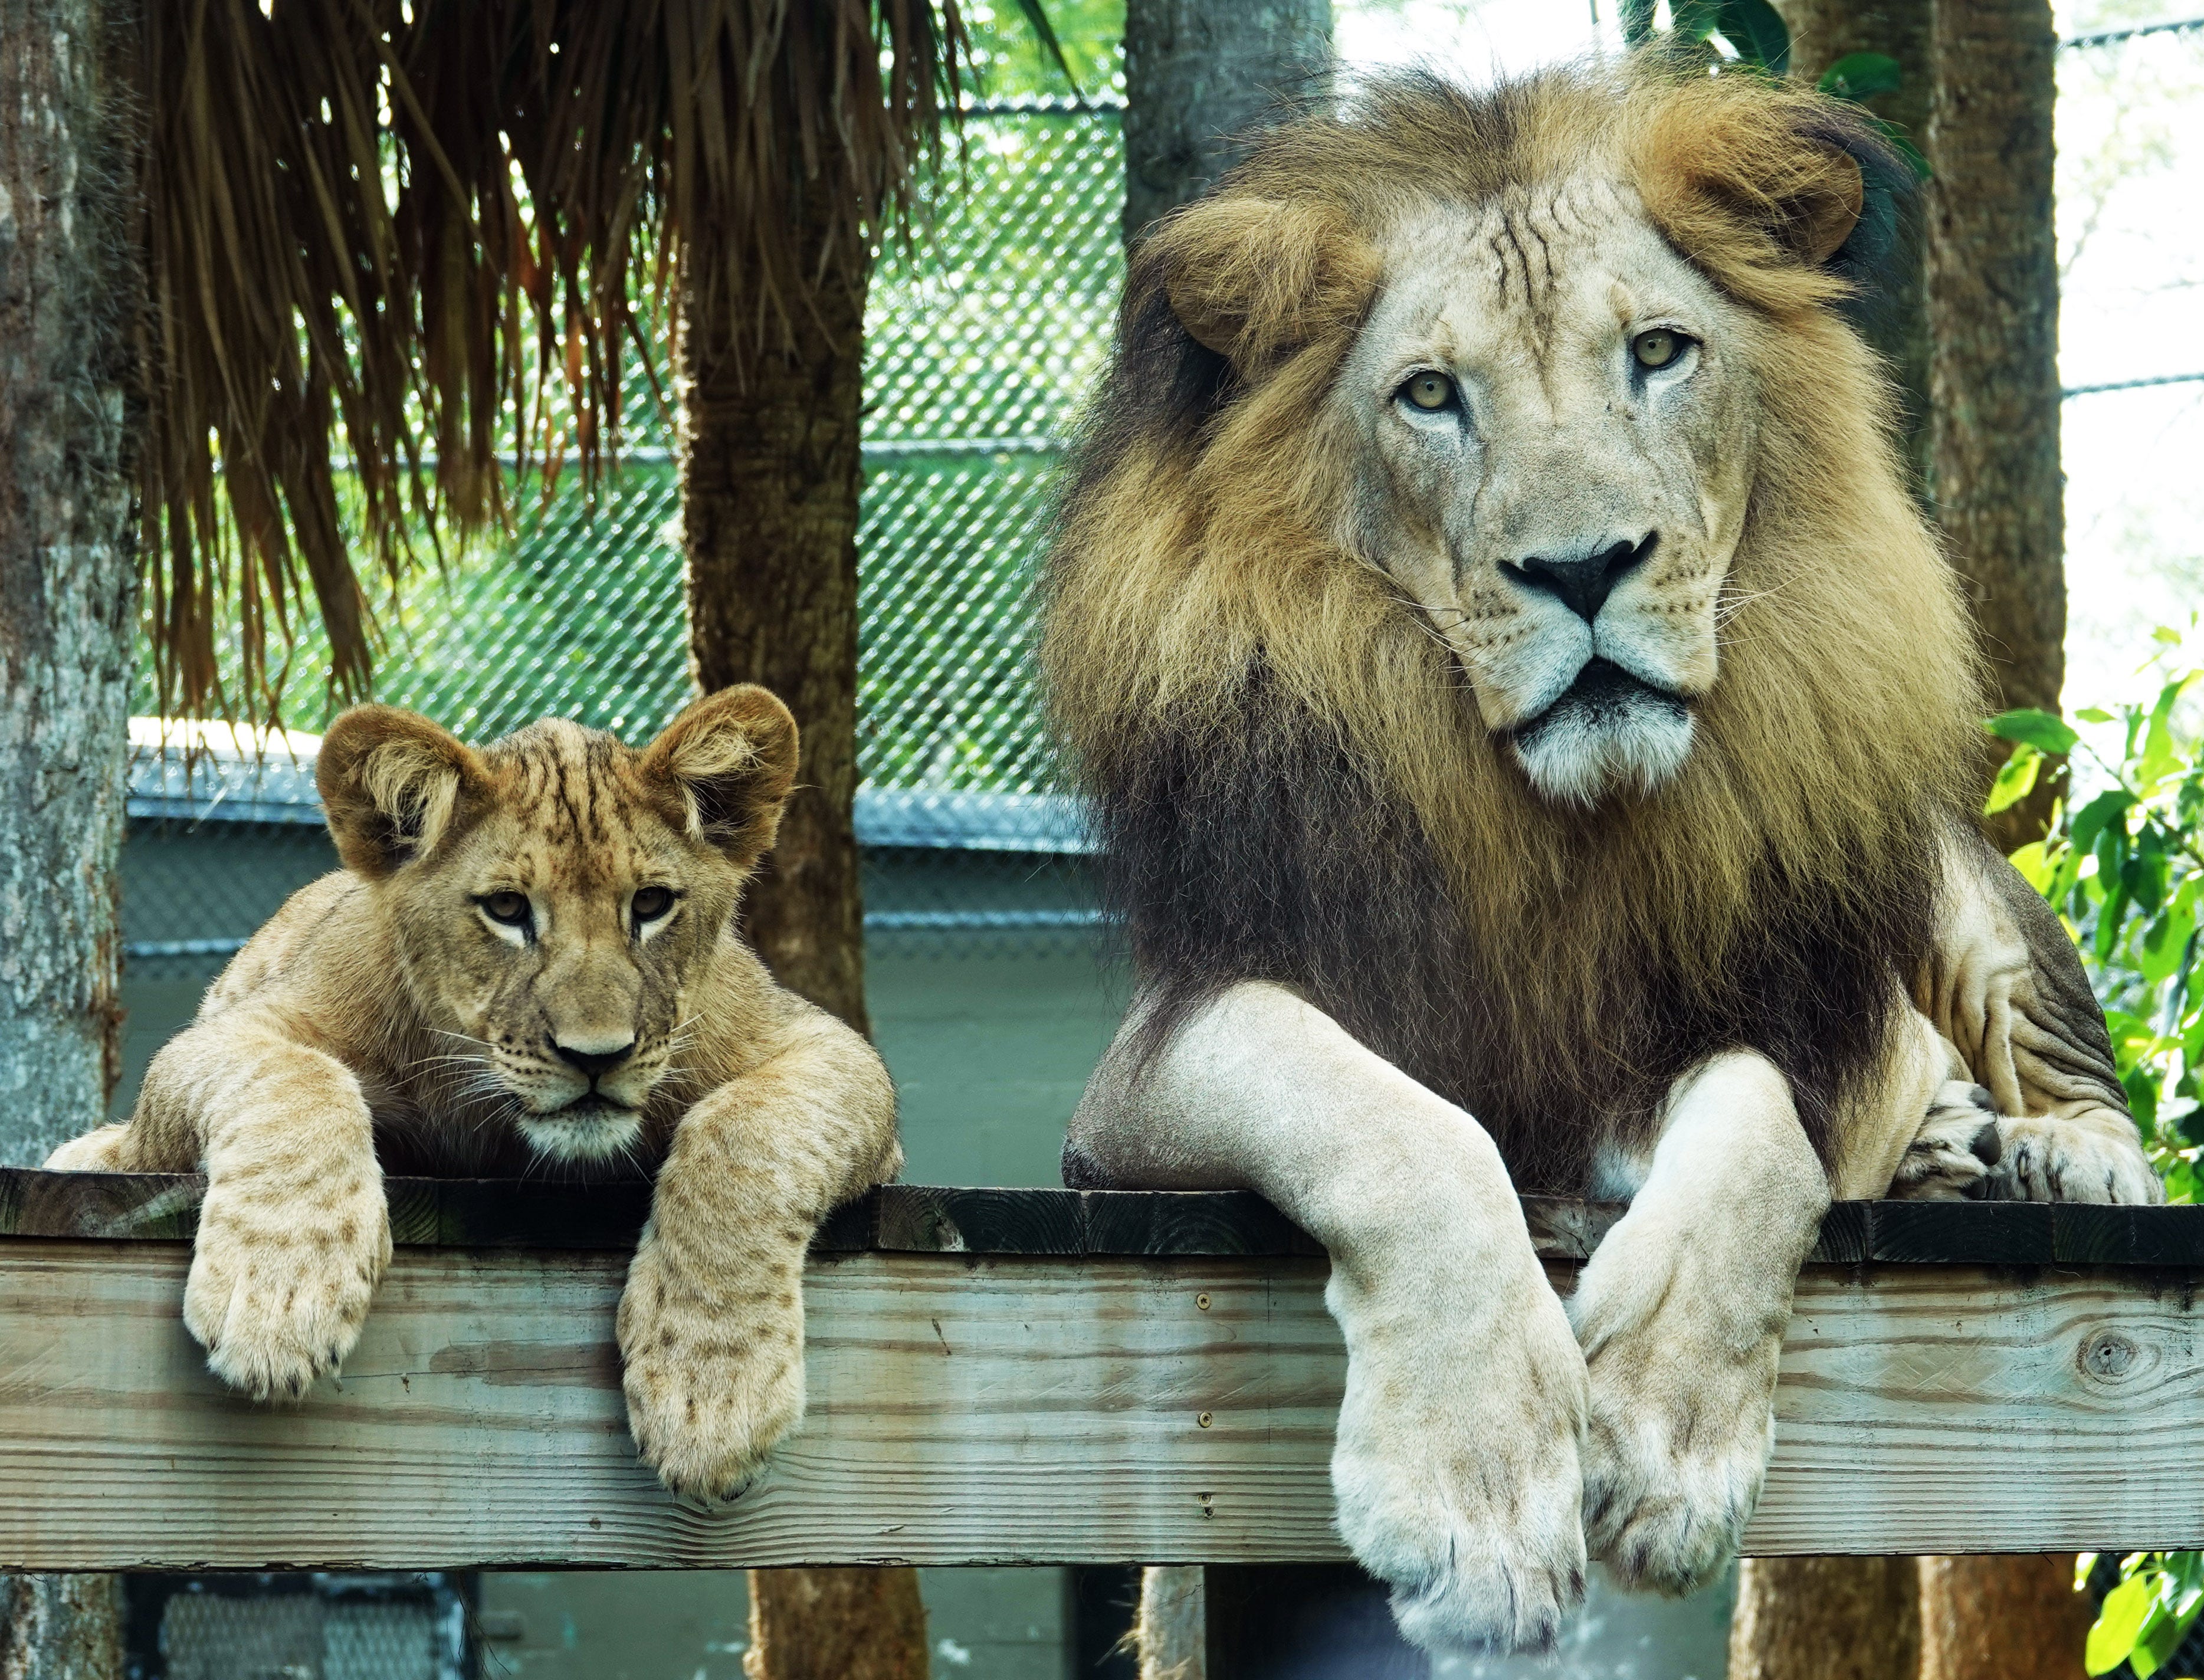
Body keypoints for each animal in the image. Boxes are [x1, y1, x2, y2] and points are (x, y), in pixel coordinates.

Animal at [48, 686, 897, 1500]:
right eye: (508, 909)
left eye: (652, 905)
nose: (597, 1056)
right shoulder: (226, 1033)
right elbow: (297, 1078)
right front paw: (280, 1301)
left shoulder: (832, 1052)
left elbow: (745, 1134)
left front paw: (712, 1396)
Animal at [1040, 63, 2159, 1654]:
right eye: (1429, 394)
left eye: (1657, 352)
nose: (1582, 568)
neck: (1560, 825)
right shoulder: (1150, 1069)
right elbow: (1398, 1126)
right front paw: (1476, 1497)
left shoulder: (1797, 1022)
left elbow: (1758, 1132)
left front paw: (1660, 1442)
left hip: (1962, 887)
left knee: (2058, 1056)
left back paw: (2058, 1154)